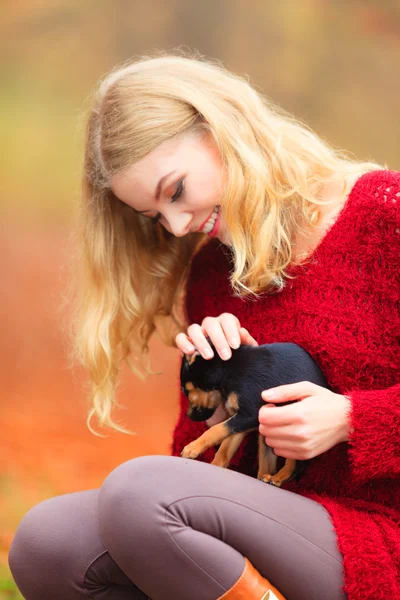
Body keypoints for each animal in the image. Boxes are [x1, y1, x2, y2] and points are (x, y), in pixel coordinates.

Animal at [180, 342, 330, 488]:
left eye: (185, 390)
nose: (189, 416)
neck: (229, 370)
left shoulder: (250, 415)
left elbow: (216, 429)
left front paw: (193, 447)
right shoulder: (239, 421)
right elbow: (225, 447)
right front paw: (214, 466)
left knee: (296, 465)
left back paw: (278, 478)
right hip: (266, 436)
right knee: (267, 464)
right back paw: (265, 477)